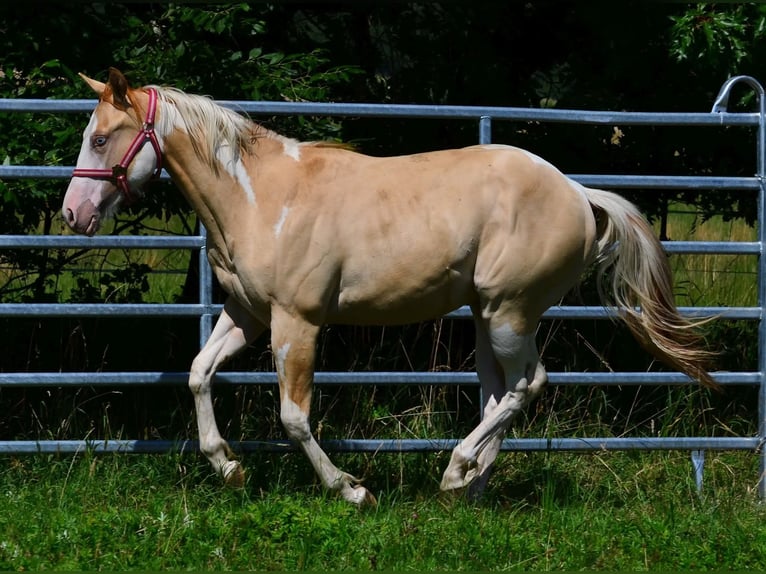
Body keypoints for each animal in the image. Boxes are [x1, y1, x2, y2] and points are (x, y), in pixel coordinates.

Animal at [62, 68, 715, 505]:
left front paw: (352, 490)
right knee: (499, 394)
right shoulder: (248, 313)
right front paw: (229, 467)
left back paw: (455, 469)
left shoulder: (297, 321)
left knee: (528, 385)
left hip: (511, 312)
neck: (260, 197)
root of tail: (579, 193)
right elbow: (199, 374)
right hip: (486, 317)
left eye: (101, 138)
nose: (72, 214)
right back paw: (470, 485)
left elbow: (294, 417)